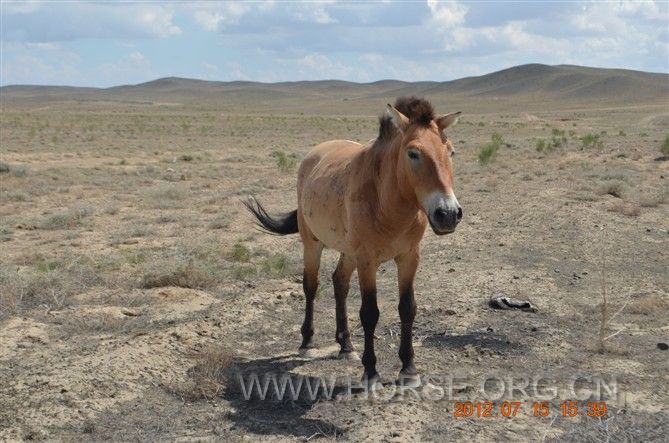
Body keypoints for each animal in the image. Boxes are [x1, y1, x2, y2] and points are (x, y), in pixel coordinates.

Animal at [244, 97, 460, 388]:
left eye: (451, 152)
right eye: (413, 153)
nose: (448, 214)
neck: (386, 203)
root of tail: (315, 153)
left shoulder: (409, 257)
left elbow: (407, 309)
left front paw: (409, 369)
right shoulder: (367, 261)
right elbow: (369, 312)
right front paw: (371, 372)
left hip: (348, 252)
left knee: (340, 283)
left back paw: (345, 345)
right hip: (312, 244)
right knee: (311, 287)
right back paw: (307, 342)